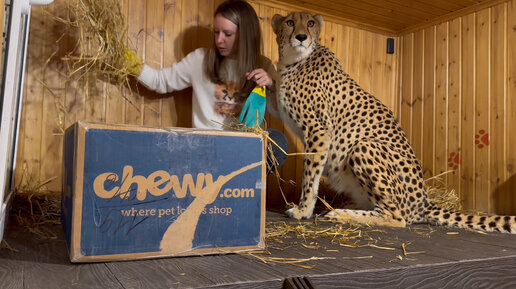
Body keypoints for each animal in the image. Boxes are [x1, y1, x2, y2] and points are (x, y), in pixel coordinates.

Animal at [272, 12, 512, 233]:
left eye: (310, 23)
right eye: (290, 22)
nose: (301, 37)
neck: (294, 60)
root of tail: (424, 200)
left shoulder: (319, 130)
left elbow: (310, 174)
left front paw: (303, 210)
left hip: (363, 147)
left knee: (397, 217)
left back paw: (340, 213)